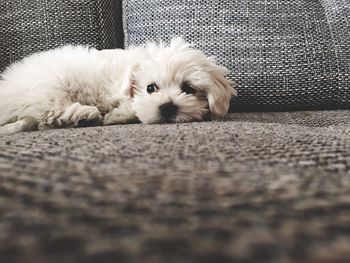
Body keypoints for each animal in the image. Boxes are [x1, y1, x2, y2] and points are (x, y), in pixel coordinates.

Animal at [0, 38, 237, 135]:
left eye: (188, 89)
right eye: (150, 88)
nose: (168, 107)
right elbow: (133, 107)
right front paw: (115, 116)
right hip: (50, 86)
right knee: (50, 114)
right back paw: (86, 114)